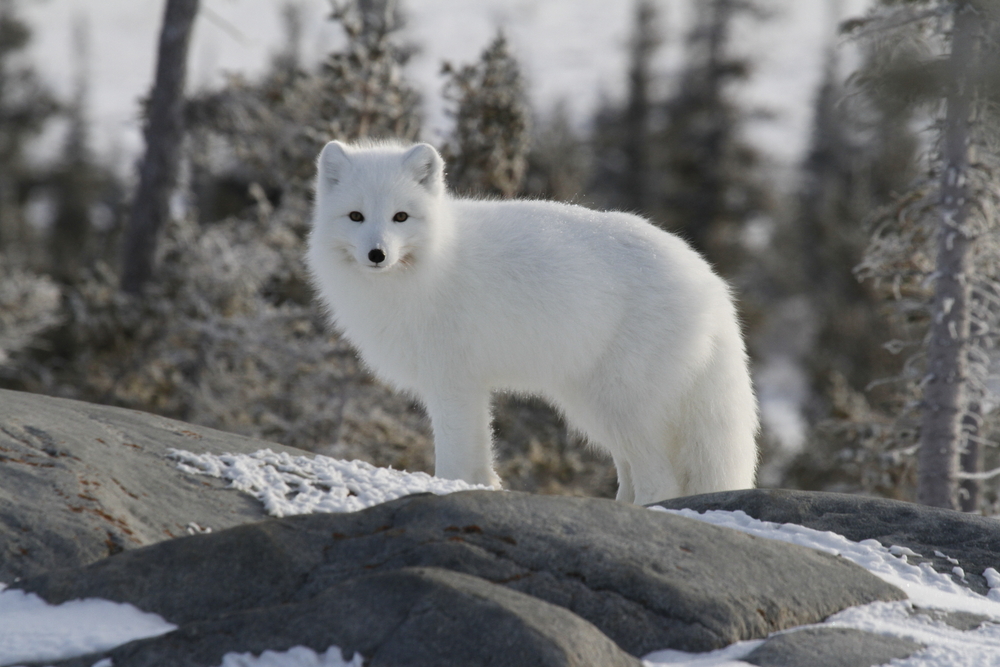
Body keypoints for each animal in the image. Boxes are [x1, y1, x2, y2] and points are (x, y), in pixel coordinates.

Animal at [306, 140, 759, 504]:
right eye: (356, 216)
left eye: (400, 217)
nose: (377, 254)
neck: (434, 263)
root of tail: (710, 280)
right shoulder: (466, 386)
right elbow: (478, 458)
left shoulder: (453, 382)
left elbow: (454, 458)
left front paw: (448, 489)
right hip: (594, 406)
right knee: (632, 473)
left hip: (621, 403)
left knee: (661, 481)